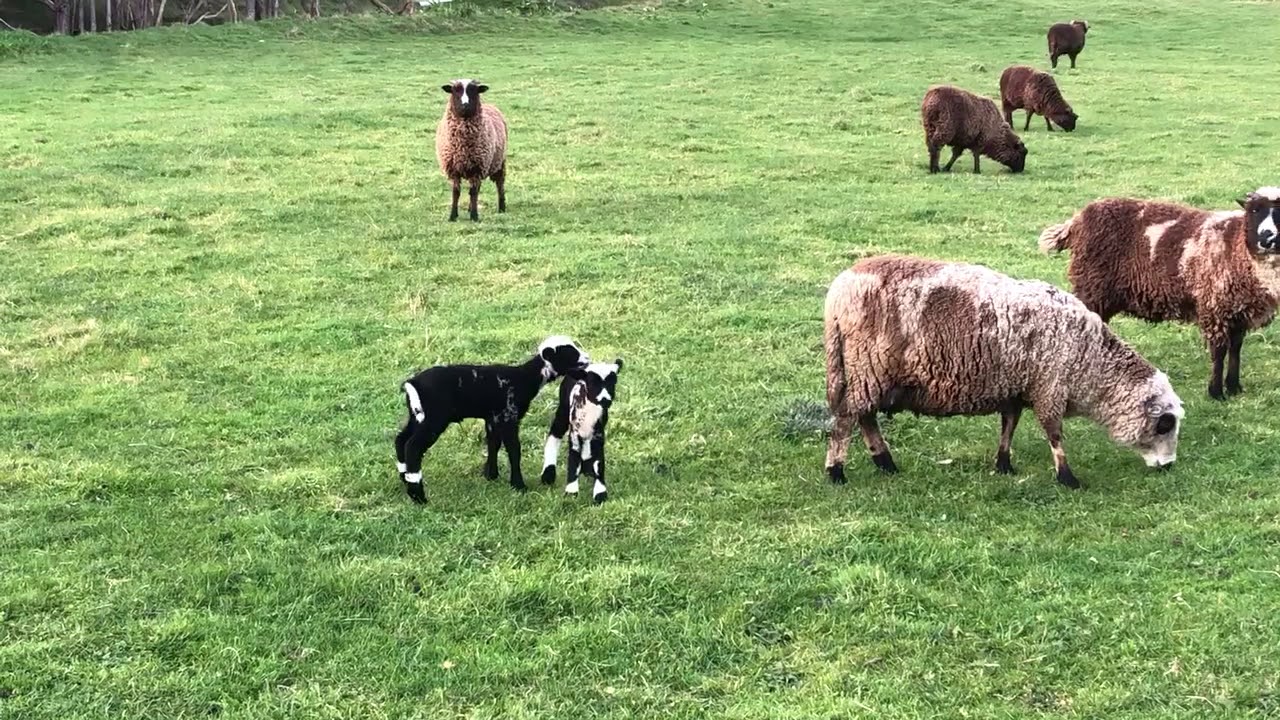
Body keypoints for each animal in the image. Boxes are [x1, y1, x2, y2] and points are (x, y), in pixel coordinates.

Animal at [394, 336, 590, 504]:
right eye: (570, 352)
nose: (587, 359)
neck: (525, 377)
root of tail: (412, 384)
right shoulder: (509, 417)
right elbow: (514, 450)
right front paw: (518, 485)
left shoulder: (493, 418)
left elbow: (493, 444)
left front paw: (491, 475)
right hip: (434, 419)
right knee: (412, 446)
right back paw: (418, 496)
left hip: (417, 416)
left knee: (400, 439)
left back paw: (404, 478)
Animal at [435, 78, 508, 222]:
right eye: (455, 90)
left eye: (474, 90)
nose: (465, 105)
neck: (462, 146)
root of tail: (490, 105)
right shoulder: (454, 169)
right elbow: (456, 193)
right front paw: (453, 216)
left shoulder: (477, 167)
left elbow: (473, 192)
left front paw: (474, 216)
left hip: (498, 162)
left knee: (500, 184)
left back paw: (502, 208)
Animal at [540, 359, 624, 505]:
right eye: (593, 382)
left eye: (613, 382)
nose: (605, 400)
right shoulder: (574, 433)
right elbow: (573, 459)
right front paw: (571, 491)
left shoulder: (598, 433)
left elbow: (599, 462)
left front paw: (600, 493)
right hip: (563, 409)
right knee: (555, 433)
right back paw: (548, 473)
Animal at [823, 255, 1184, 488]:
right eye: (1165, 424)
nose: (1168, 467)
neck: (1088, 358)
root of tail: (838, 291)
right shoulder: (1050, 387)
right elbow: (1054, 434)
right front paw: (1068, 479)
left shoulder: (1015, 387)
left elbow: (1009, 426)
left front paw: (1004, 465)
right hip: (868, 367)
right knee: (846, 419)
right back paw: (837, 472)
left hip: (870, 373)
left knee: (865, 417)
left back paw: (885, 464)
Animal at [1039, 188, 1280, 400]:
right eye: (1254, 211)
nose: (1267, 239)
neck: (1237, 246)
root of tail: (1076, 220)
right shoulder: (1215, 307)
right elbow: (1219, 352)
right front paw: (1216, 392)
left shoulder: (1239, 312)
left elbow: (1236, 349)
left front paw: (1234, 387)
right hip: (1091, 287)